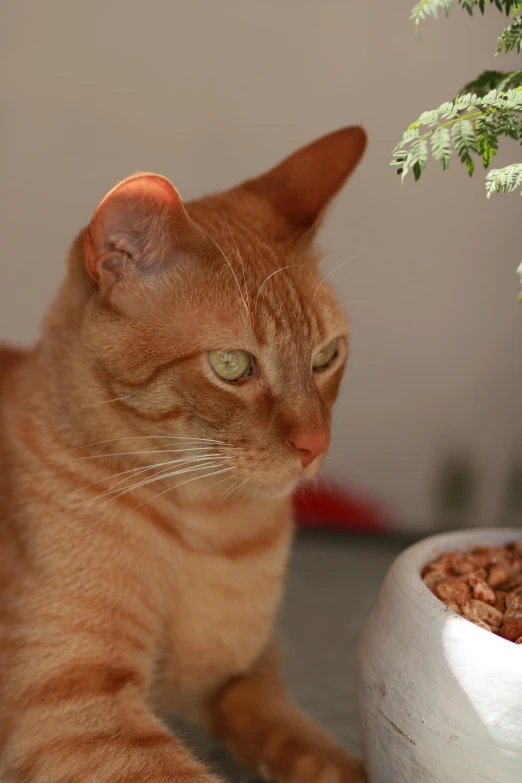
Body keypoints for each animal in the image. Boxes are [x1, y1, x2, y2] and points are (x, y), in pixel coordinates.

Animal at [0, 129, 366, 783]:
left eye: (327, 356)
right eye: (231, 365)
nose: (315, 444)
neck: (215, 535)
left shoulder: (245, 672)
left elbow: (307, 744)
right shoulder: (69, 708)